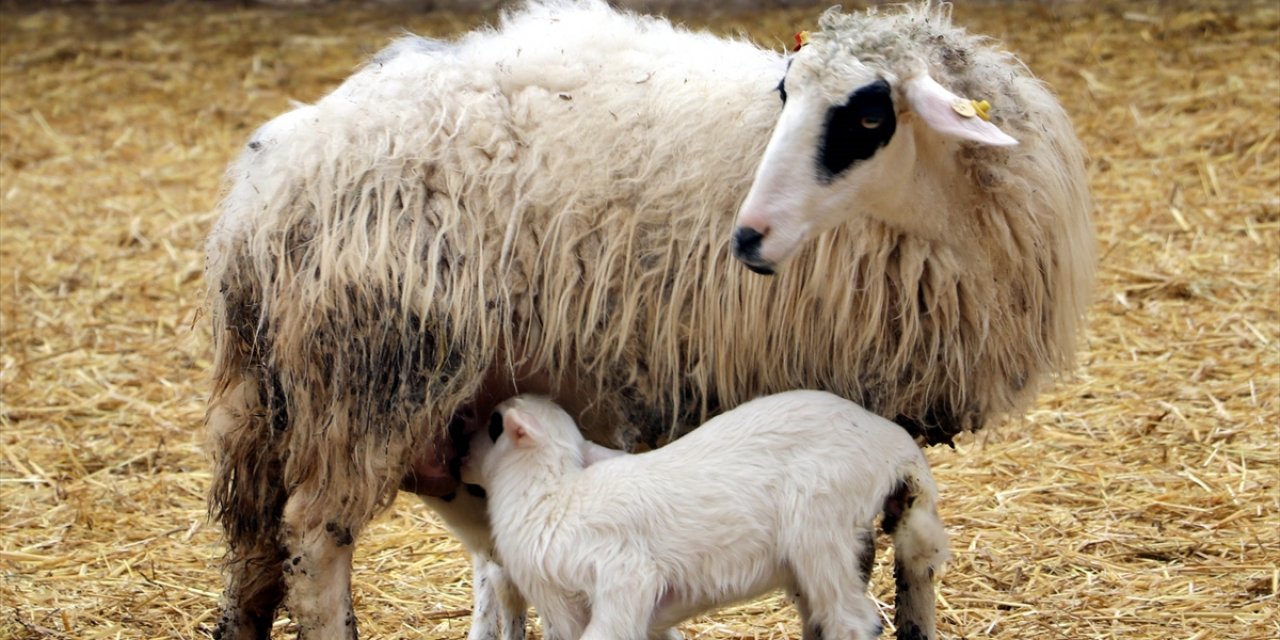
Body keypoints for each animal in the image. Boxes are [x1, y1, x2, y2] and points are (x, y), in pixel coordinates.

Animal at [465, 389, 947, 640]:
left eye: (493, 424)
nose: (458, 455)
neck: (550, 498)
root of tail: (896, 446)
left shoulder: (626, 576)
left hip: (820, 527)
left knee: (852, 620)